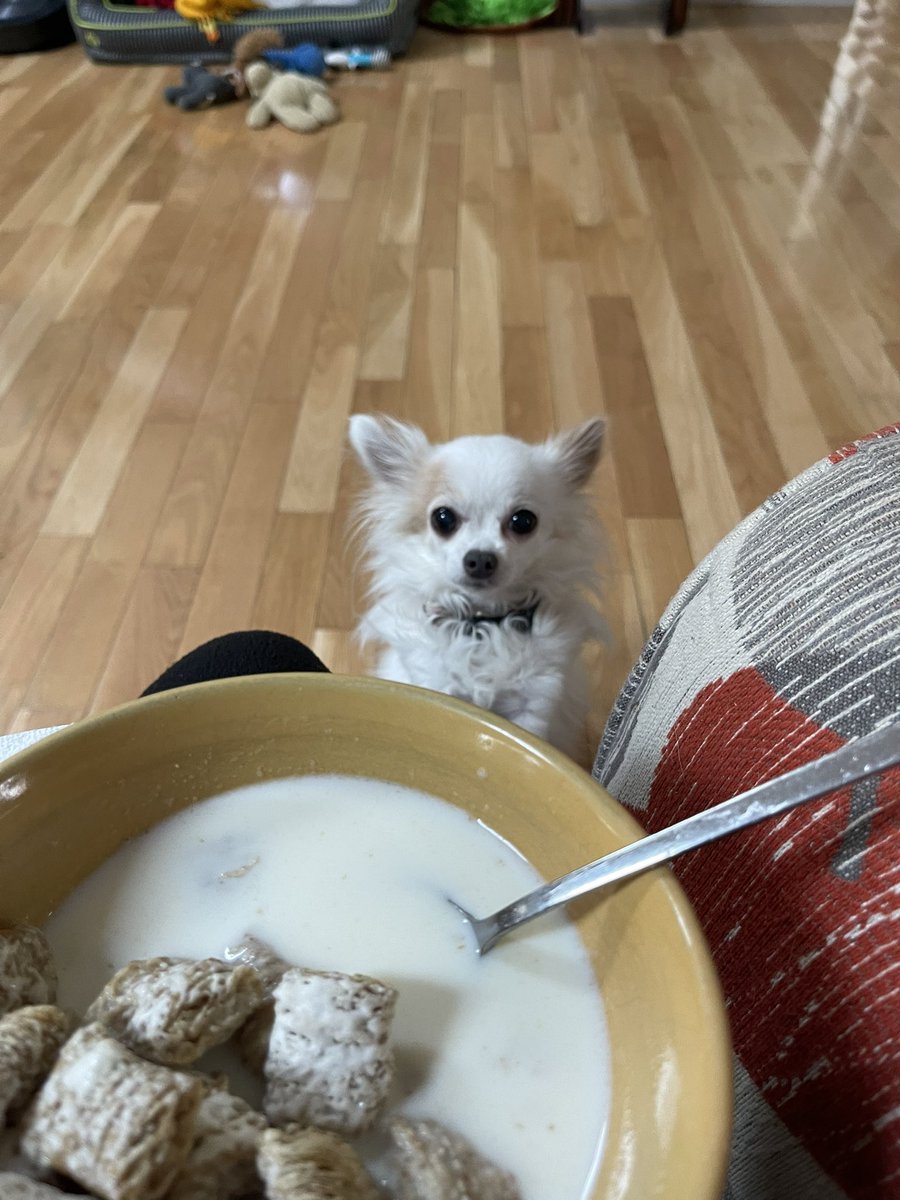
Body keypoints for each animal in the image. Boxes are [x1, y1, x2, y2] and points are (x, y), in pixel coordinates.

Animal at [348, 415, 609, 758]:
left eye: (523, 521)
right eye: (443, 519)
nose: (481, 559)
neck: (483, 622)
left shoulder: (533, 701)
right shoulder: (436, 686)